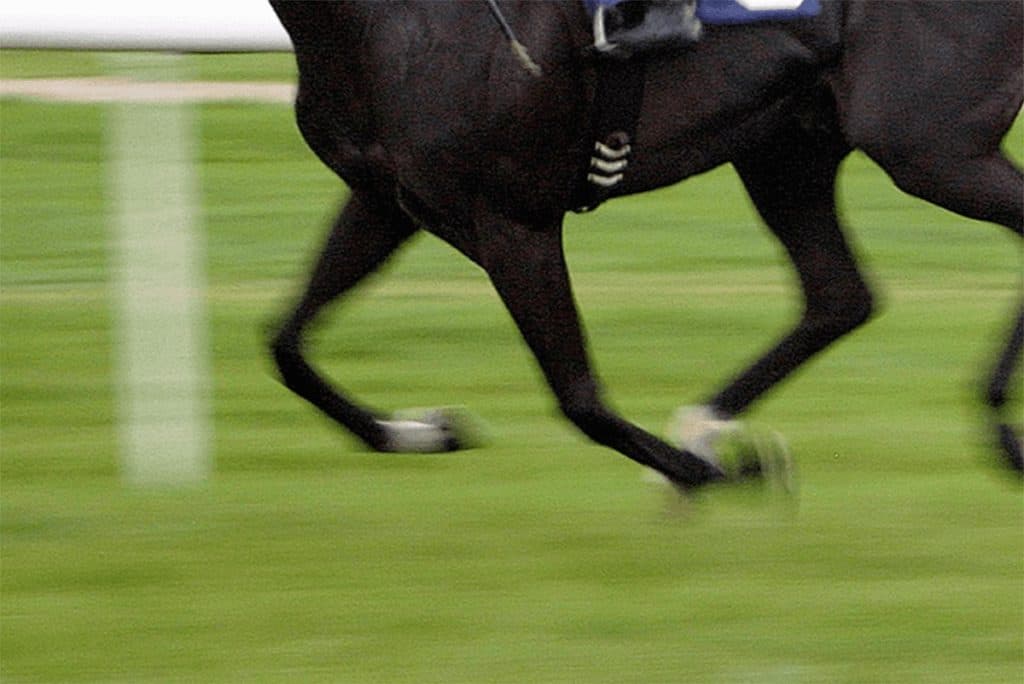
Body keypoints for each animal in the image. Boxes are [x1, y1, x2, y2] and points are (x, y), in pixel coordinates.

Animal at [267, 0, 1023, 491]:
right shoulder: (385, 201)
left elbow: (579, 398)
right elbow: (286, 346)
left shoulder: (513, 218)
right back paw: (704, 422)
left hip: (930, 147)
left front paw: (714, 475)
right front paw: (417, 431)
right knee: (840, 296)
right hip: (787, 149)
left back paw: (1000, 427)